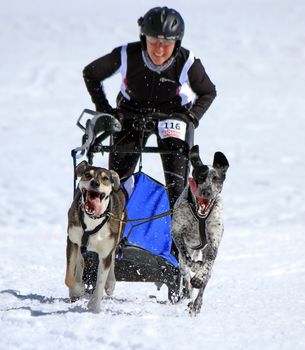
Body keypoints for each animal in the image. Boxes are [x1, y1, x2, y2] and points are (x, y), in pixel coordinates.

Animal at [64, 161, 125, 312]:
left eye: (105, 178)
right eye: (87, 175)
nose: (94, 183)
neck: (93, 219)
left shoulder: (105, 252)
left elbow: (100, 281)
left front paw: (94, 306)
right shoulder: (72, 241)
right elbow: (68, 277)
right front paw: (78, 289)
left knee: (112, 258)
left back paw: (110, 283)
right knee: (79, 262)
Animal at [171, 144, 228, 314]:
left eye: (216, 178)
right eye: (201, 177)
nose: (206, 192)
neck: (200, 217)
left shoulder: (214, 242)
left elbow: (208, 263)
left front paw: (199, 276)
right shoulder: (177, 233)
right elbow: (188, 259)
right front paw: (196, 267)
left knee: (204, 281)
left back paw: (197, 303)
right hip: (182, 263)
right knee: (186, 276)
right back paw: (189, 296)